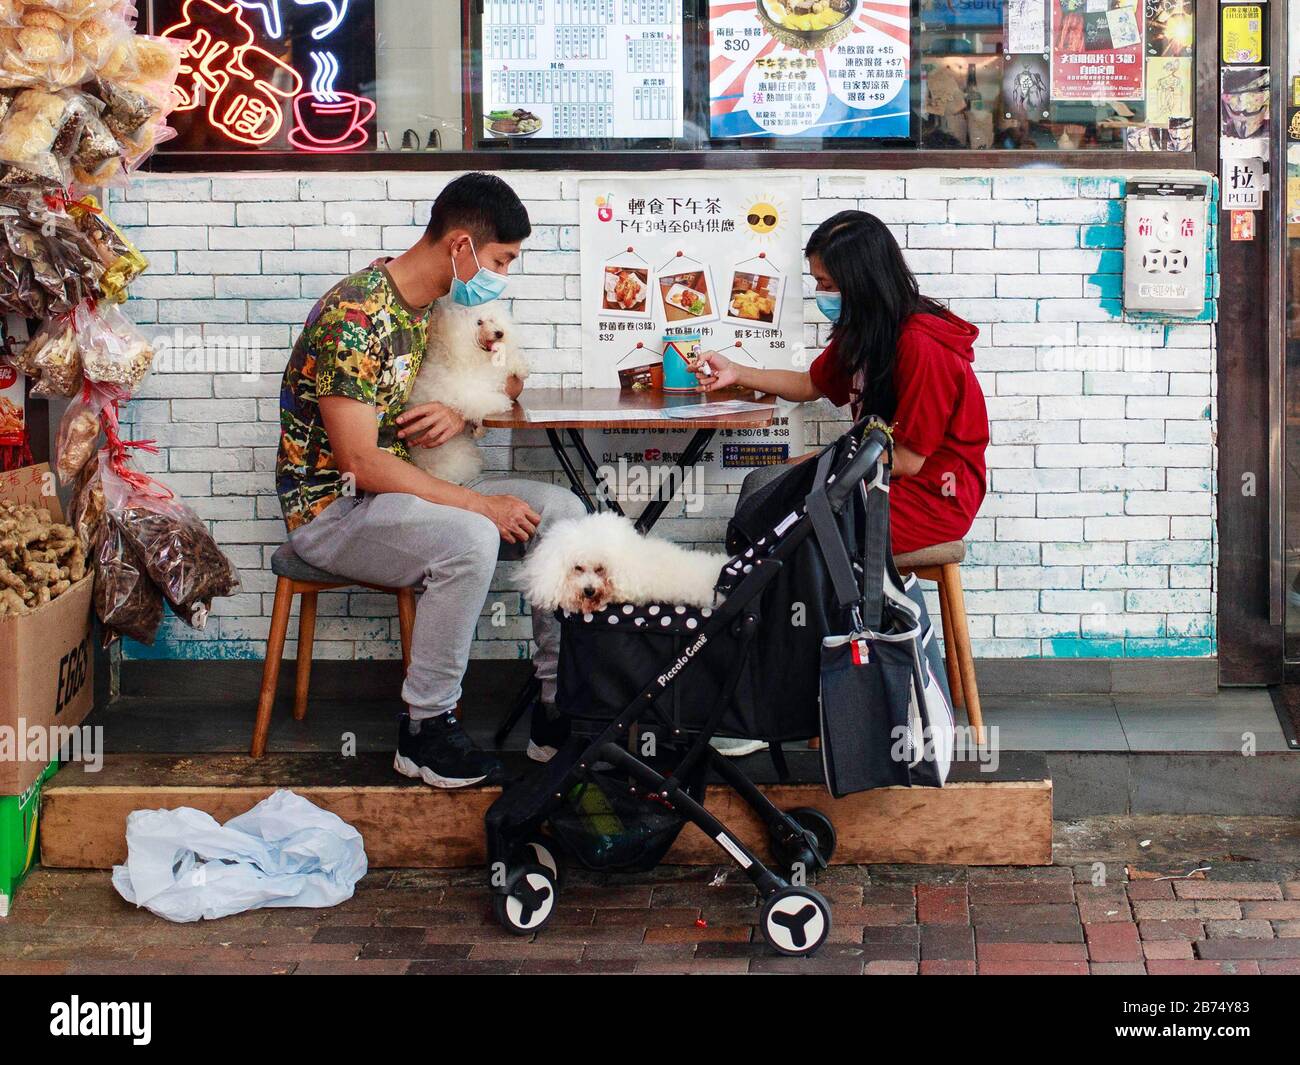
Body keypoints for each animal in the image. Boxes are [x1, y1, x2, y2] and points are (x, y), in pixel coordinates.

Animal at [405, 300, 527, 483]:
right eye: (479, 322)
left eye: (493, 320)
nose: (500, 333)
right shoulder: (466, 394)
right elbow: (484, 401)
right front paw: (503, 403)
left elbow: (503, 367)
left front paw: (522, 367)